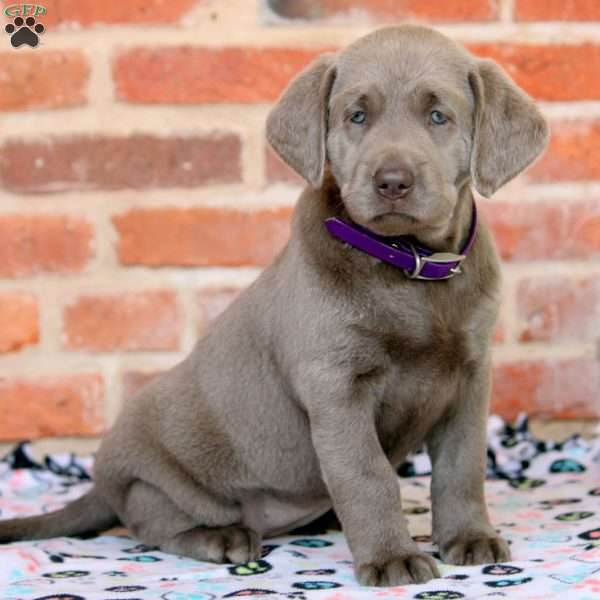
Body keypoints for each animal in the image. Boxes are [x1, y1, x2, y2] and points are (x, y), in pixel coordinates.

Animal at [0, 27, 548, 584]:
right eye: (357, 116)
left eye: (439, 117)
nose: (392, 181)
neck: (409, 264)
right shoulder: (337, 386)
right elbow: (367, 475)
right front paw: (391, 557)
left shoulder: (470, 376)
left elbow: (462, 465)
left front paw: (470, 537)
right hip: (152, 478)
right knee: (152, 521)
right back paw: (221, 537)